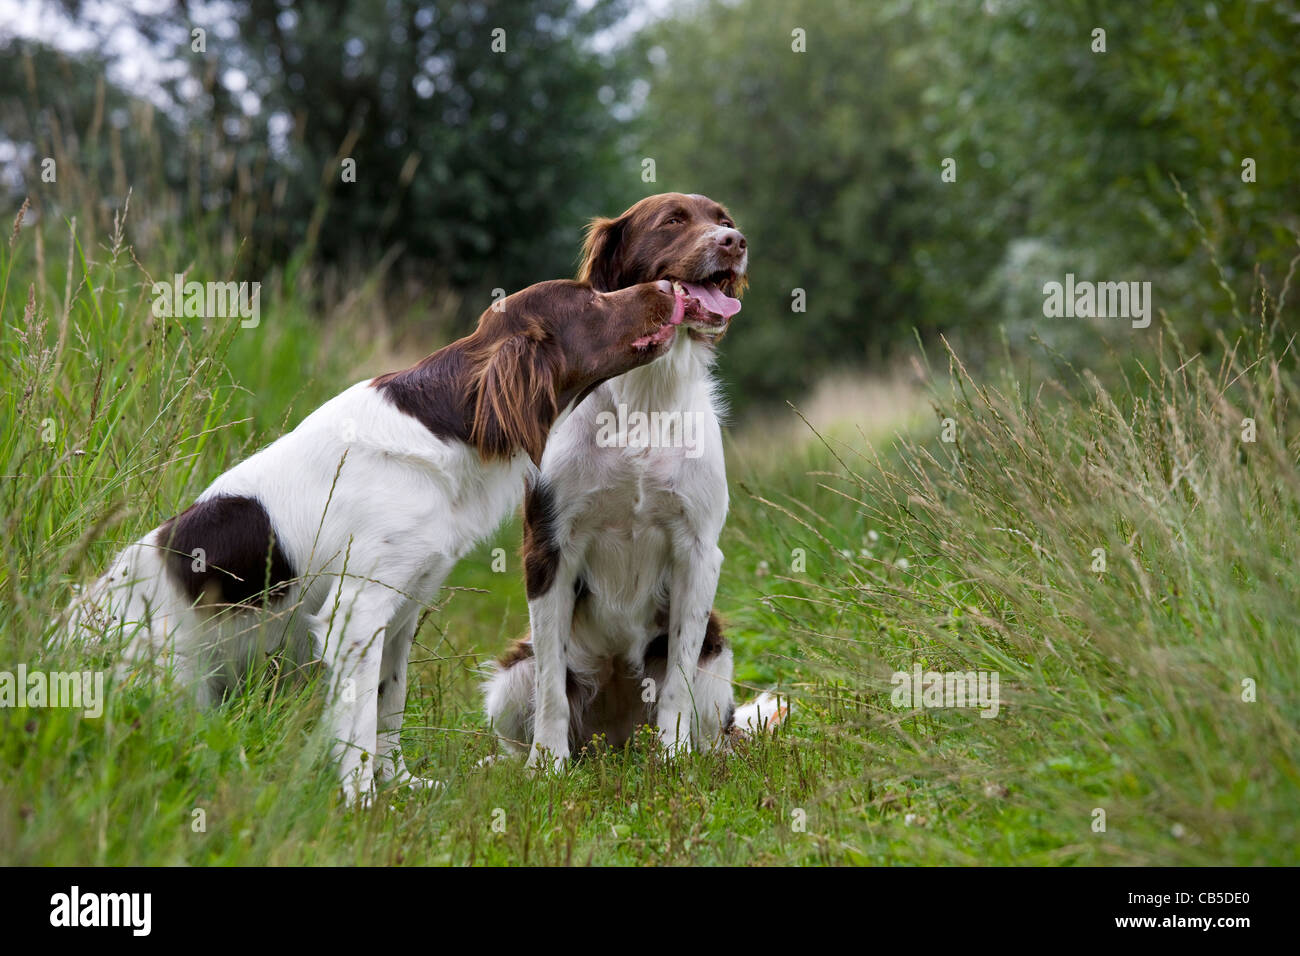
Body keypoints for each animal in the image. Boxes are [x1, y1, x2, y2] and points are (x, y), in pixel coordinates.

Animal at [67, 277, 712, 801]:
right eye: (592, 299)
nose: (669, 287)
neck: (452, 424)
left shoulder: (402, 609)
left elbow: (388, 705)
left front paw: (397, 781)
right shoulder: (357, 610)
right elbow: (356, 725)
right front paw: (361, 801)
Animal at [486, 195, 785, 770]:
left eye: (725, 222)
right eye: (672, 221)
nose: (735, 243)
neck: (646, 397)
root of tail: (614, 741)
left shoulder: (698, 551)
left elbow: (677, 679)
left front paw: (672, 758)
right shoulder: (549, 547)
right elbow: (552, 689)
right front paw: (547, 766)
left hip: (718, 656)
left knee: (715, 720)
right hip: (512, 674)